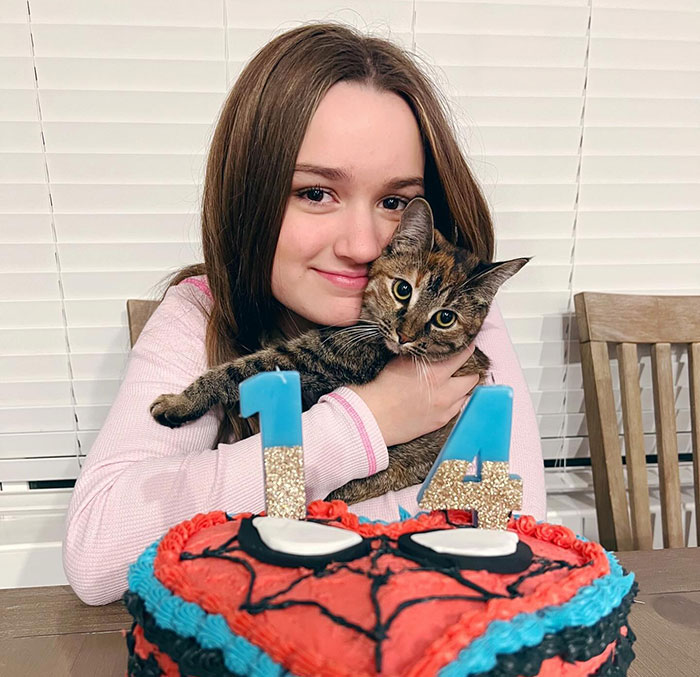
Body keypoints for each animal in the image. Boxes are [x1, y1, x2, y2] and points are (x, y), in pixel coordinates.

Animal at [152, 198, 524, 504]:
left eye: (445, 318)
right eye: (403, 290)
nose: (404, 336)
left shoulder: (321, 356)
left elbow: (242, 369)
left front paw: (180, 402)